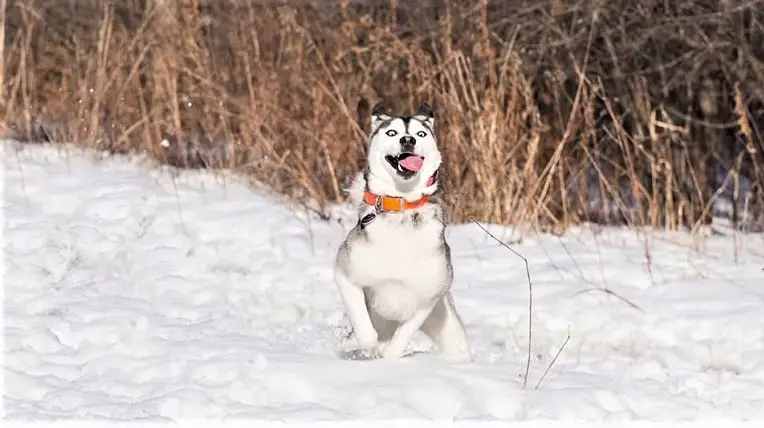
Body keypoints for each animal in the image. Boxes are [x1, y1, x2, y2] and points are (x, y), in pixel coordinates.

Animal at [334, 102, 472, 360]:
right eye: (392, 132)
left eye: (421, 133)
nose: (408, 140)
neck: (402, 205)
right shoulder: (345, 273)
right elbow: (363, 326)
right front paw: (369, 347)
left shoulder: (428, 297)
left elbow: (404, 333)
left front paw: (388, 355)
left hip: (448, 328)